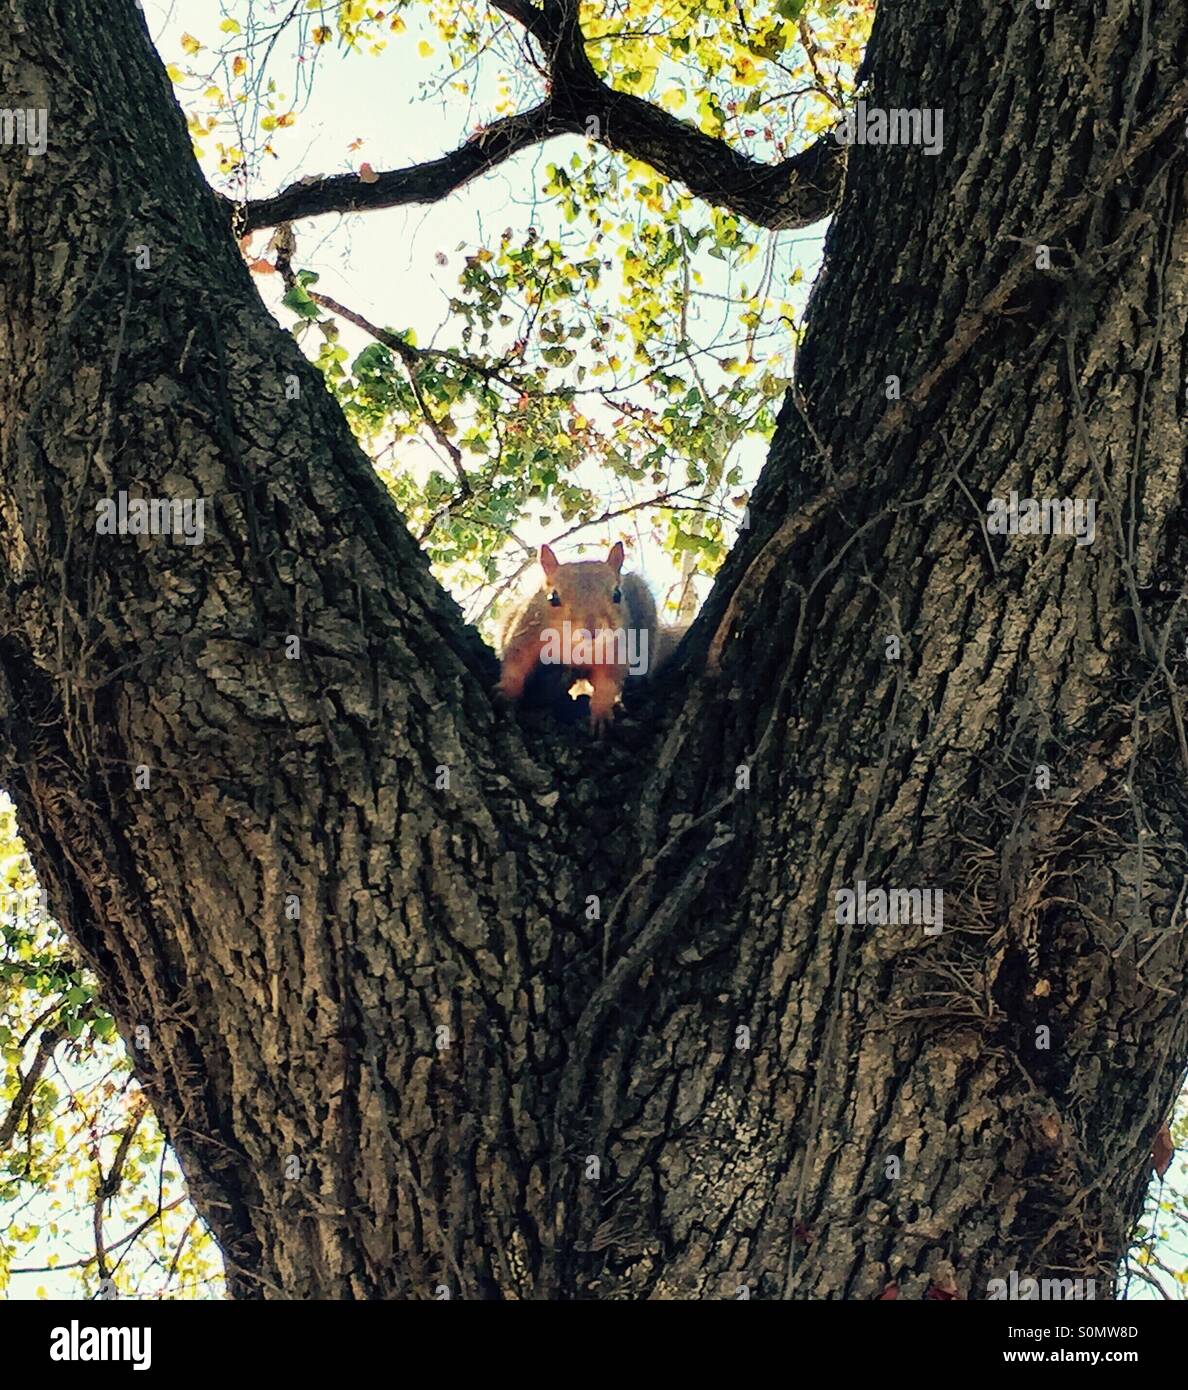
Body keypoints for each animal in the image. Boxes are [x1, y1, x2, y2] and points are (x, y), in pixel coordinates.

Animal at [497, 542, 683, 733]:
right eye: (553, 597)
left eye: (617, 594)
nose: (592, 631)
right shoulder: (526, 633)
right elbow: (515, 662)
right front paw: (507, 689)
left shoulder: (617, 650)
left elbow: (608, 681)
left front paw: (601, 711)